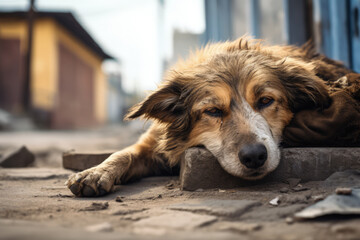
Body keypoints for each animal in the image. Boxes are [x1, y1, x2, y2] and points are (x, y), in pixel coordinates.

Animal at [66, 36, 356, 197]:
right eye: (213, 111)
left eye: (265, 101)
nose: (254, 157)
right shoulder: (152, 143)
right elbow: (123, 153)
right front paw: (95, 172)